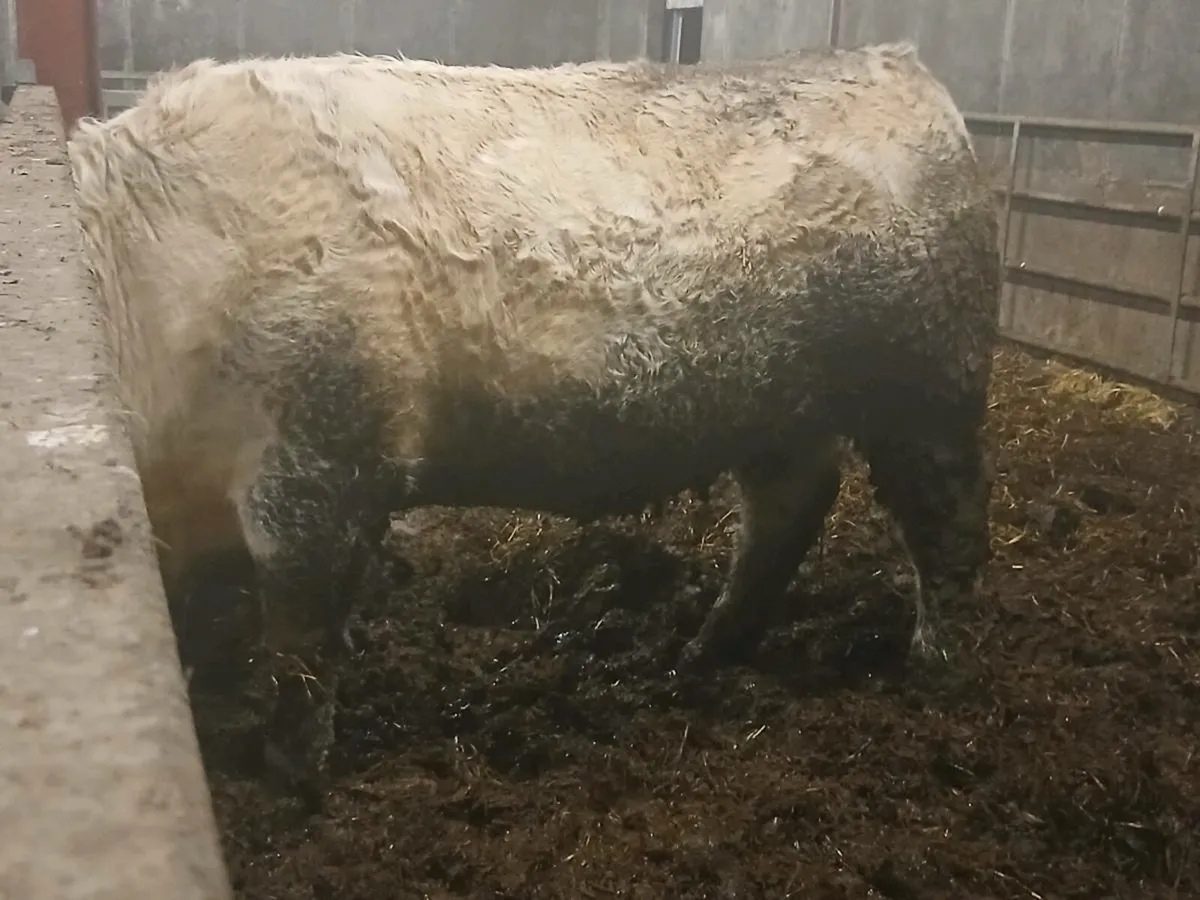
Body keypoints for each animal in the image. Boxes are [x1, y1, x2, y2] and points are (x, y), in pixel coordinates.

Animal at [67, 43, 1000, 808]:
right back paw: (702, 653)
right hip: (777, 409)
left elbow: (301, 641)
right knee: (791, 509)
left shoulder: (316, 461)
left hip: (930, 387)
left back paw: (936, 668)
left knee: (948, 528)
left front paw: (288, 776)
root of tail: (905, 67)